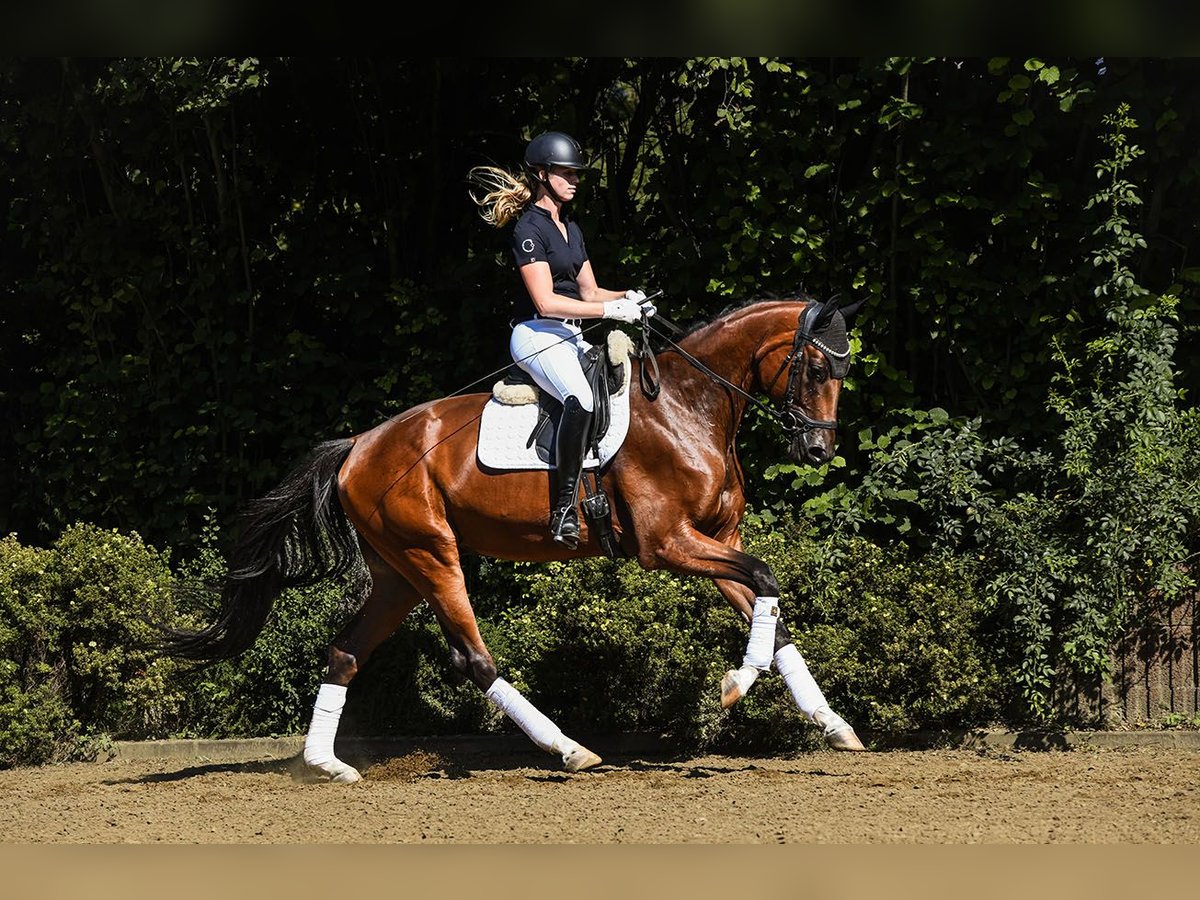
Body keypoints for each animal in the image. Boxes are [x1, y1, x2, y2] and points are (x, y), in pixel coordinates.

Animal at [164, 296, 868, 782]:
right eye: (813, 366)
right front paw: (735, 685)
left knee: (344, 652)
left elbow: (772, 615)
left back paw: (325, 766)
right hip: (432, 555)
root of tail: (359, 445)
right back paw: (570, 749)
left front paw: (834, 725)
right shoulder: (667, 543)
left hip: (397, 573)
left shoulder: (715, 538)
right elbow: (767, 581)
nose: (817, 451)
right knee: (474, 658)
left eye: (844, 370)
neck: (690, 407)